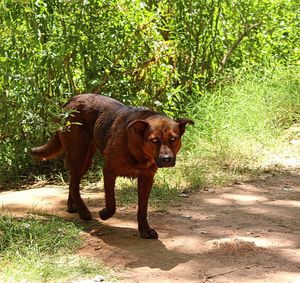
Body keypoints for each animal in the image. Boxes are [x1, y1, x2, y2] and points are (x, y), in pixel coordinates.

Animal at [30, 94, 193, 239]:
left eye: (173, 139)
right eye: (154, 140)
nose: (167, 159)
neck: (138, 149)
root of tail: (71, 100)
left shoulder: (146, 179)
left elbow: (142, 208)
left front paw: (144, 229)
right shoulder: (108, 171)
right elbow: (112, 204)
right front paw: (104, 214)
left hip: (85, 159)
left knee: (72, 183)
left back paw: (73, 206)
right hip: (80, 156)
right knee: (74, 185)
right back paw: (83, 212)